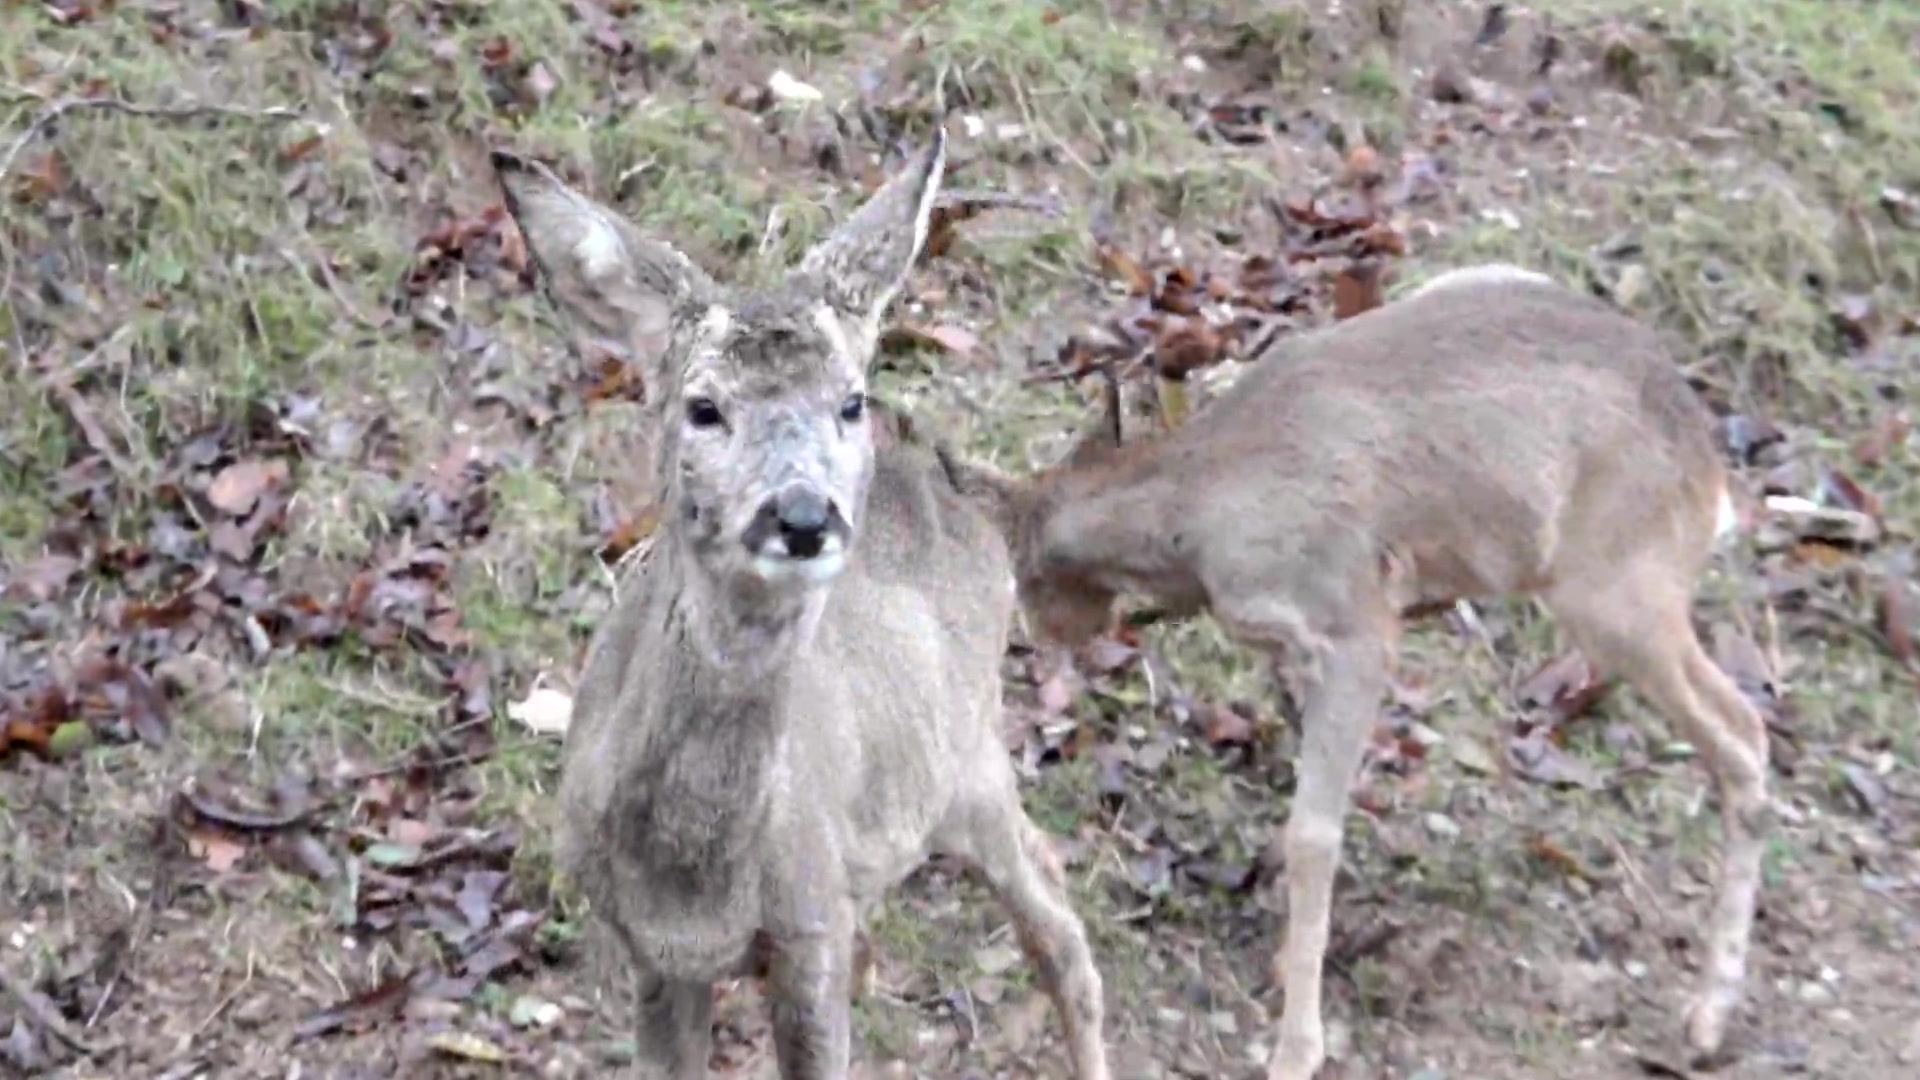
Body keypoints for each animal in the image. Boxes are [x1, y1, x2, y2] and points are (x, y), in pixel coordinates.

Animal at [495, 132, 1113, 1076]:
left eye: (849, 401)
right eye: (703, 408)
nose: (802, 515)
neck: (694, 879)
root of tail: (965, 493)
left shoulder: (809, 929)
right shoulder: (651, 953)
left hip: (967, 760)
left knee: (1056, 919)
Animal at [936, 263, 1758, 1076]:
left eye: (1023, 572)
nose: (1047, 638)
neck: (1197, 521)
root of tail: (1710, 474)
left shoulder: (1355, 627)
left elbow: (1313, 835)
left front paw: (1296, 1049)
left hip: (1612, 588)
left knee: (1743, 732)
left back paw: (1709, 1016)